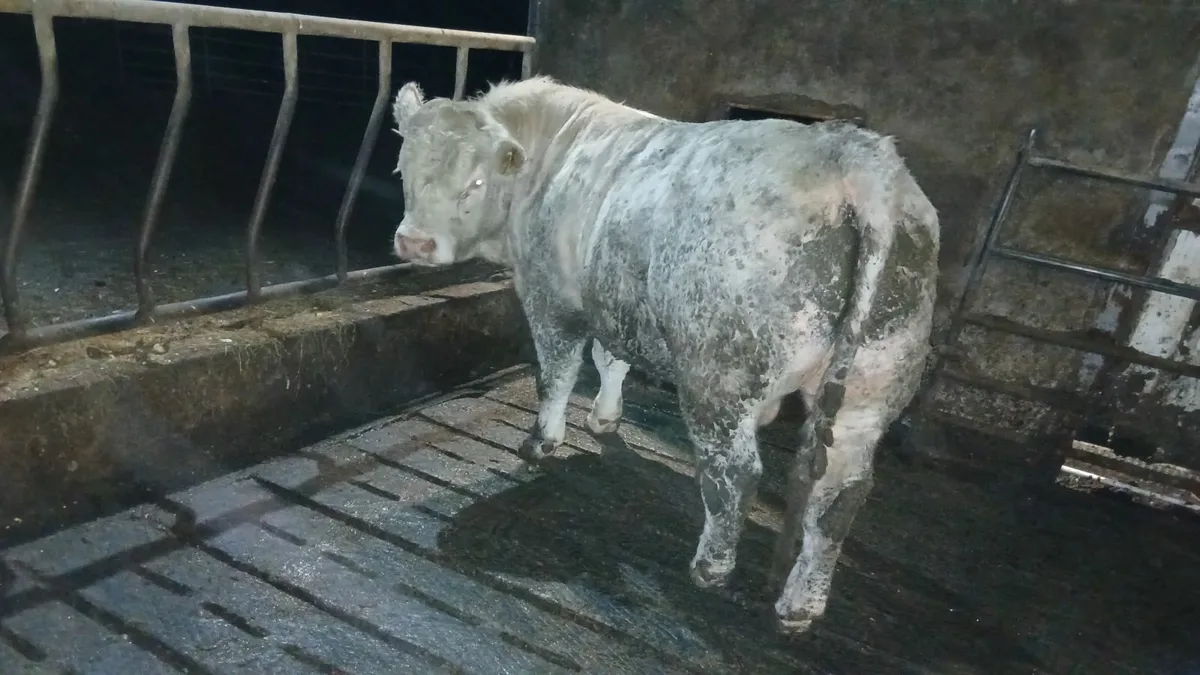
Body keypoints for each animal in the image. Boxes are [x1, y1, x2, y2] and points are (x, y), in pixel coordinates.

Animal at [388, 75, 939, 634]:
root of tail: (854, 159)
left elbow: (557, 375)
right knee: (840, 494)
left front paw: (542, 441)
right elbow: (612, 361)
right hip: (873, 380)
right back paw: (799, 604)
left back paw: (711, 567)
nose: (414, 243)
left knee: (738, 471)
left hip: (718, 378)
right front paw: (605, 418)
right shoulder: (612, 300)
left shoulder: (551, 300)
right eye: (403, 168)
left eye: (474, 183)